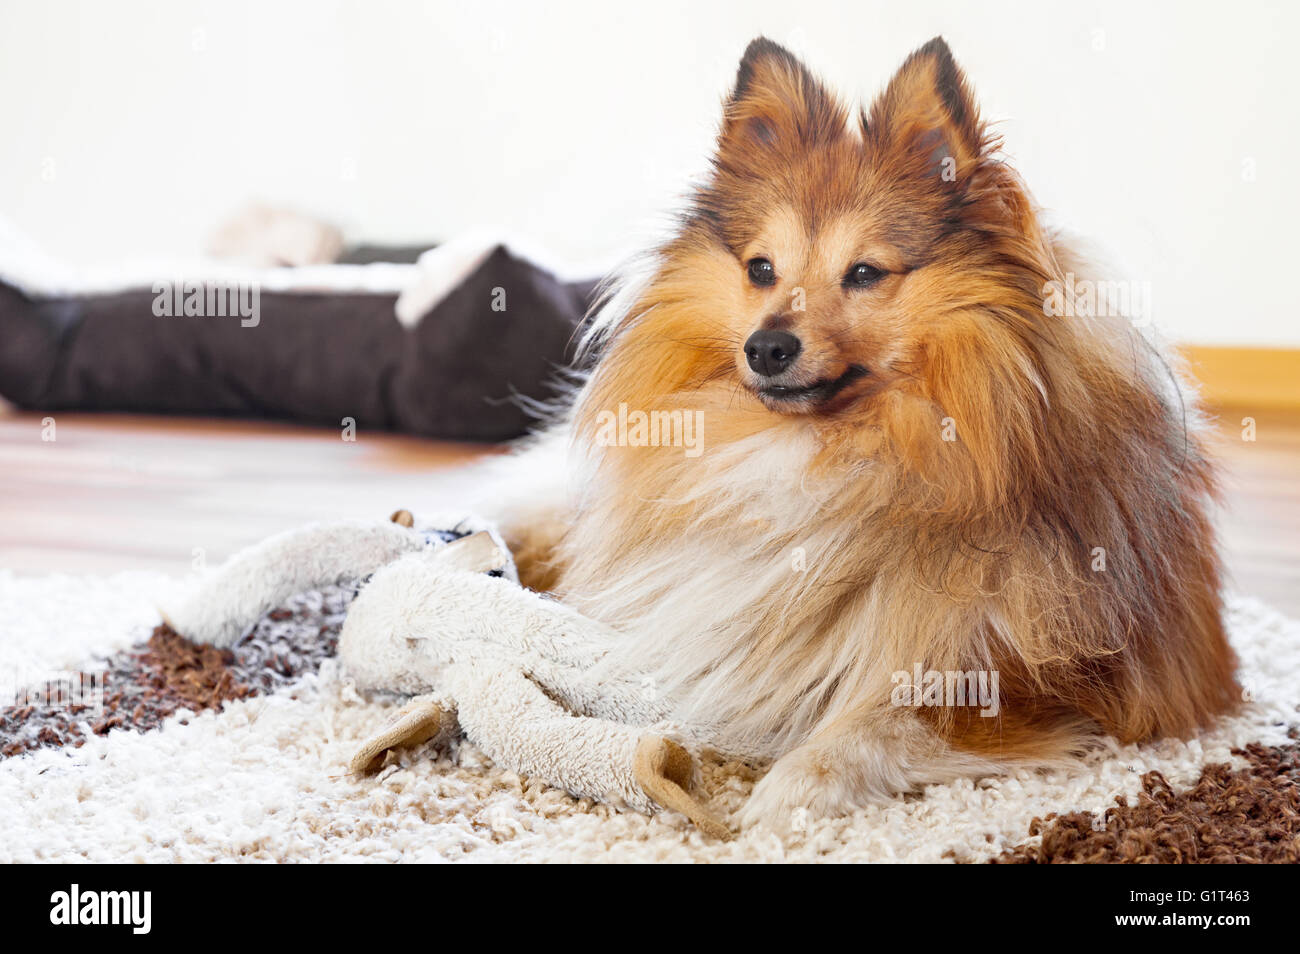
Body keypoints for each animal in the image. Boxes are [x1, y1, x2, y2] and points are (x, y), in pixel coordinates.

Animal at [486, 37, 1237, 831]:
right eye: (761, 268)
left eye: (866, 273)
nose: (767, 347)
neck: (839, 454)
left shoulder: (1035, 683)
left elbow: (878, 722)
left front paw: (787, 792)